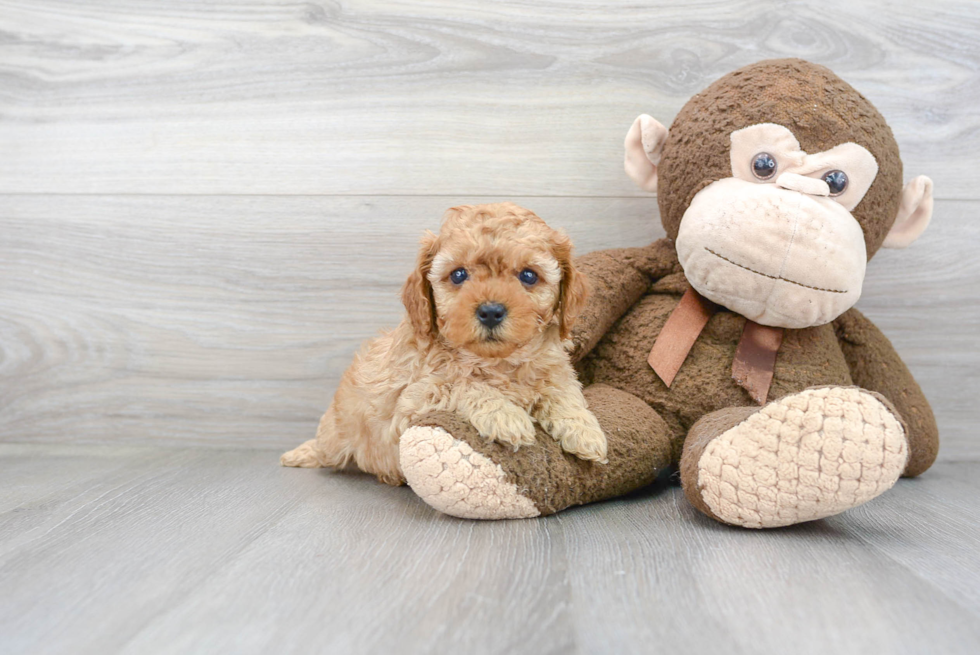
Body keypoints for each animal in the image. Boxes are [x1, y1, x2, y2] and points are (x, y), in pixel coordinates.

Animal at [280, 202, 608, 484]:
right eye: (459, 274)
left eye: (529, 275)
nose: (491, 311)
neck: (497, 361)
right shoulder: (410, 403)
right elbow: (461, 384)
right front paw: (505, 416)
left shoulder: (555, 371)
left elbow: (563, 393)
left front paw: (585, 430)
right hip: (336, 436)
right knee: (325, 449)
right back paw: (300, 454)